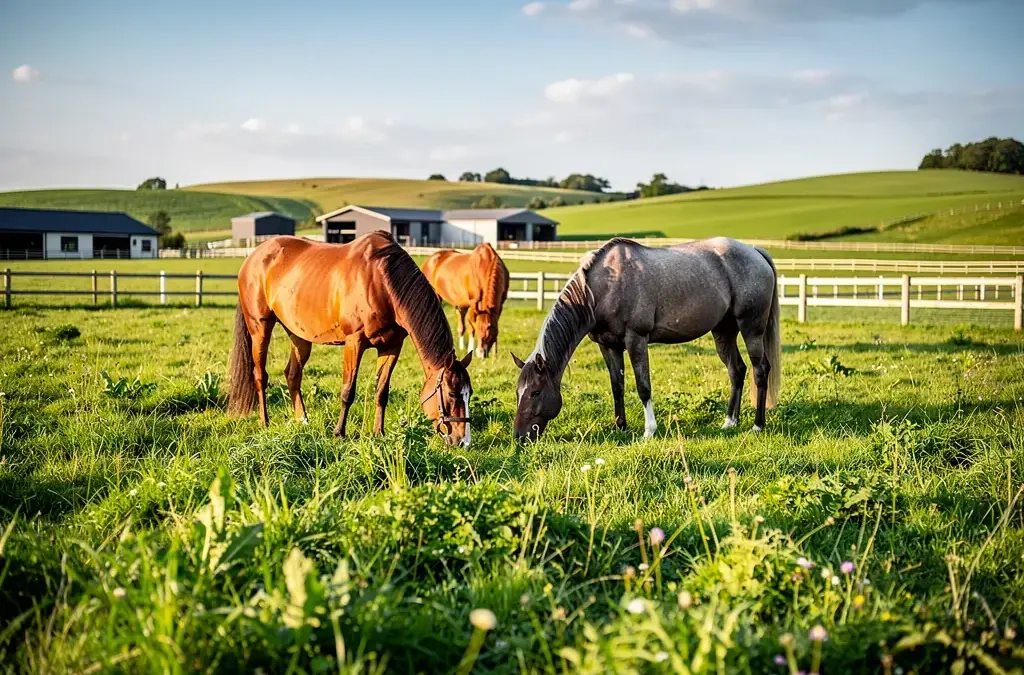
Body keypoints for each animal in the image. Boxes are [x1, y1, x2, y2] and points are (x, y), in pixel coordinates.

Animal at [226, 231, 474, 447]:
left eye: (469, 393)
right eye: (452, 394)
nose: (463, 442)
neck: (381, 279)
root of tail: (254, 256)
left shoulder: (392, 346)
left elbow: (382, 392)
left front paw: (379, 432)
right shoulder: (354, 342)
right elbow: (348, 391)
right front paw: (339, 433)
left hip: (298, 335)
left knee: (293, 374)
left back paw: (302, 420)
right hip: (260, 328)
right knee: (260, 376)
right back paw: (265, 422)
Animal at [510, 236, 781, 441]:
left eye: (535, 392)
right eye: (517, 392)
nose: (519, 437)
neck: (603, 288)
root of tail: (755, 252)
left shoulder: (636, 340)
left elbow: (643, 386)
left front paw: (649, 431)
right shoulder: (608, 346)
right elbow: (617, 386)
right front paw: (620, 426)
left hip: (751, 329)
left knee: (760, 370)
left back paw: (757, 425)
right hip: (723, 332)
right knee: (737, 370)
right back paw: (729, 422)